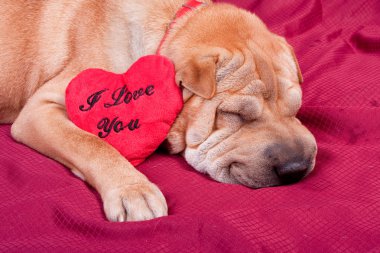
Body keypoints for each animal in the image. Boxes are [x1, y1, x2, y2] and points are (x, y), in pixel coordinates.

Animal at [0, 0, 316, 221]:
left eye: (296, 107)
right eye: (235, 115)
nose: (297, 168)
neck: (170, 27)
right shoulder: (40, 109)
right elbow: (91, 144)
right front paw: (134, 191)